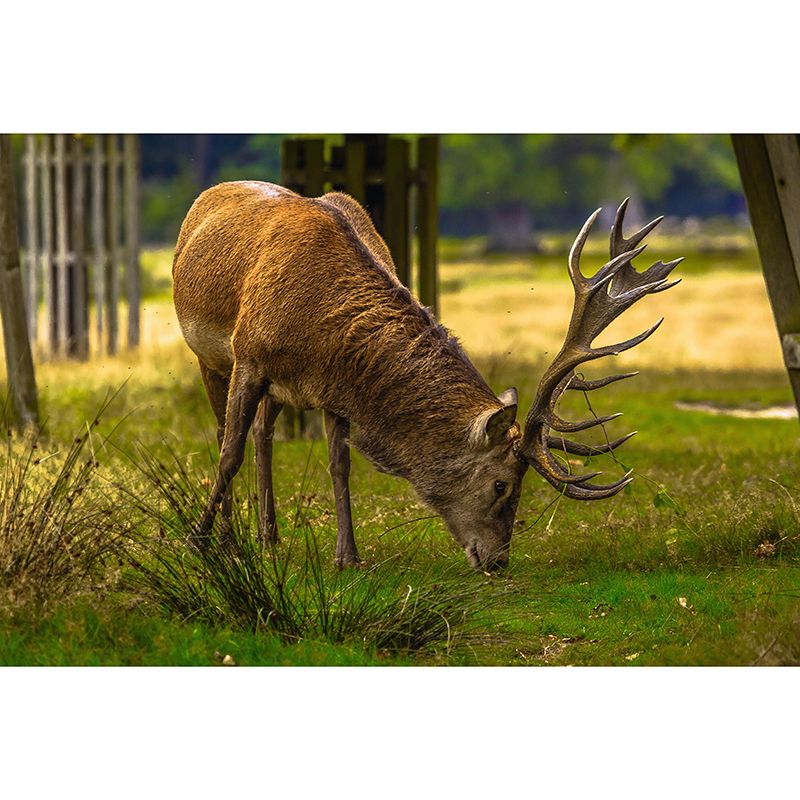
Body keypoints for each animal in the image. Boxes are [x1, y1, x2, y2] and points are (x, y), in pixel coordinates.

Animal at [172, 181, 681, 571]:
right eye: (501, 484)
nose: (499, 561)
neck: (320, 329)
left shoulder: (332, 389)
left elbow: (340, 466)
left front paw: (347, 557)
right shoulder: (250, 357)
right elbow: (228, 453)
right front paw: (199, 540)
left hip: (278, 389)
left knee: (263, 433)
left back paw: (269, 535)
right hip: (209, 357)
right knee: (225, 432)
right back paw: (229, 536)